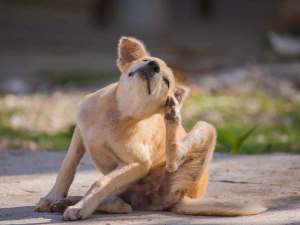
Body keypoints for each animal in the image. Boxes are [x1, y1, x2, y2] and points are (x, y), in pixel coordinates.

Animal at [35, 36, 268, 220]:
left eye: (166, 81)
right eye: (146, 60)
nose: (153, 66)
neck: (119, 112)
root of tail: (185, 197)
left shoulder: (138, 163)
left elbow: (100, 183)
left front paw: (81, 208)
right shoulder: (79, 135)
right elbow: (67, 168)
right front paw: (52, 197)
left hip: (205, 130)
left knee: (169, 161)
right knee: (121, 201)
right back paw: (75, 202)